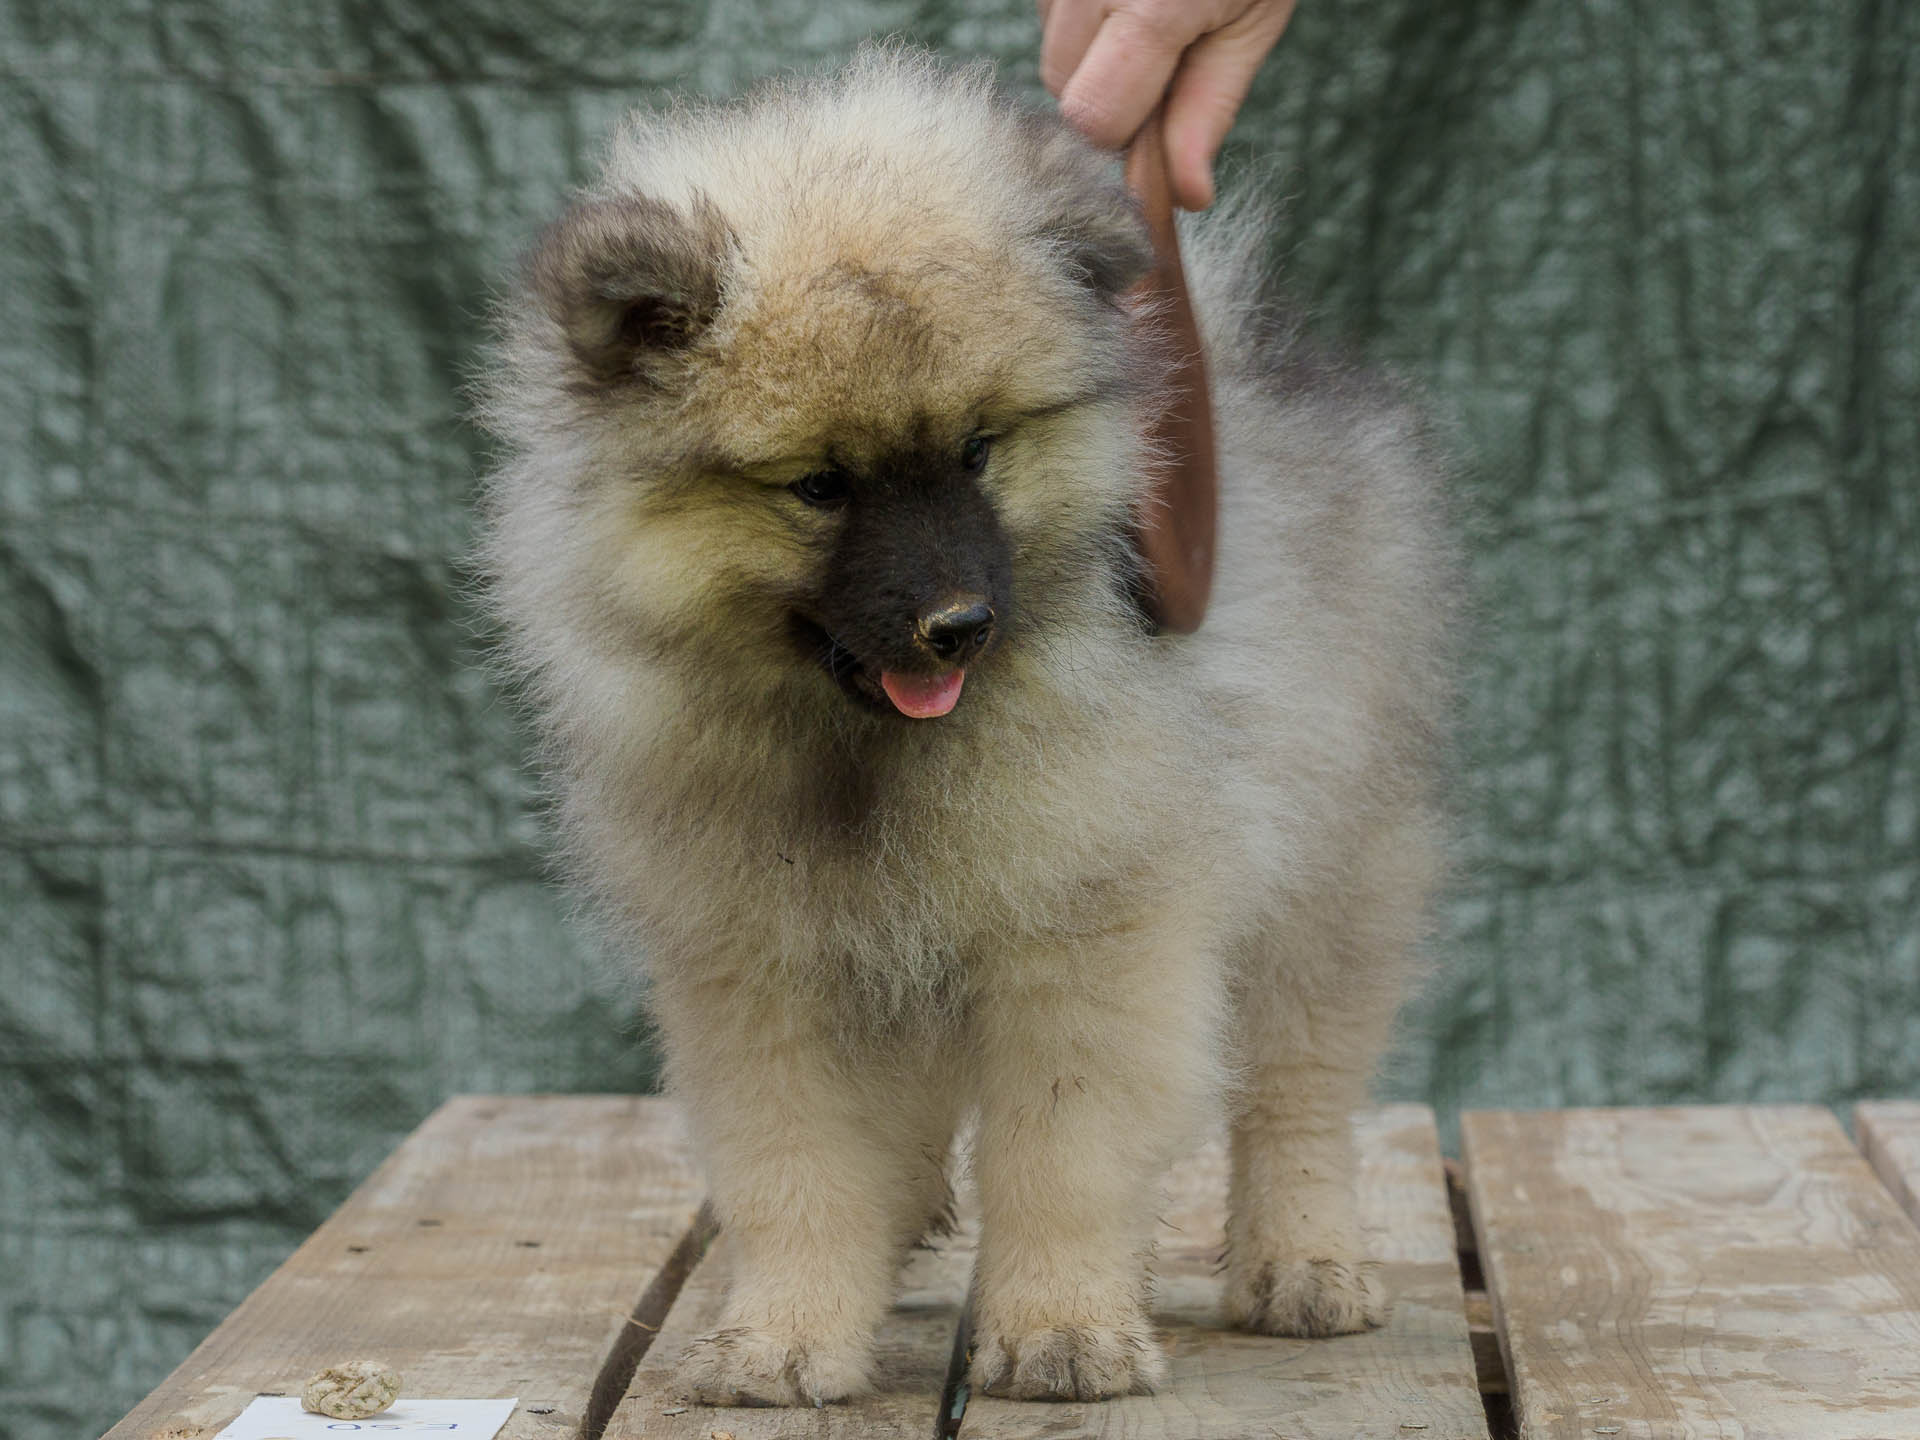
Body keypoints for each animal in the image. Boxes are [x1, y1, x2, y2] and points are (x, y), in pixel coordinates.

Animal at [476, 48, 1451, 1413]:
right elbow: (796, 1173)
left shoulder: (1084, 935)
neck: (866, 757)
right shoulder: (769, 968)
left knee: (1297, 1094)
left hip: (1333, 865)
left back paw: (1303, 1264)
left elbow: (1061, 1156)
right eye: (819, 485)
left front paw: (1061, 1328)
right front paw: (787, 1334)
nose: (959, 625)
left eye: (982, 449)